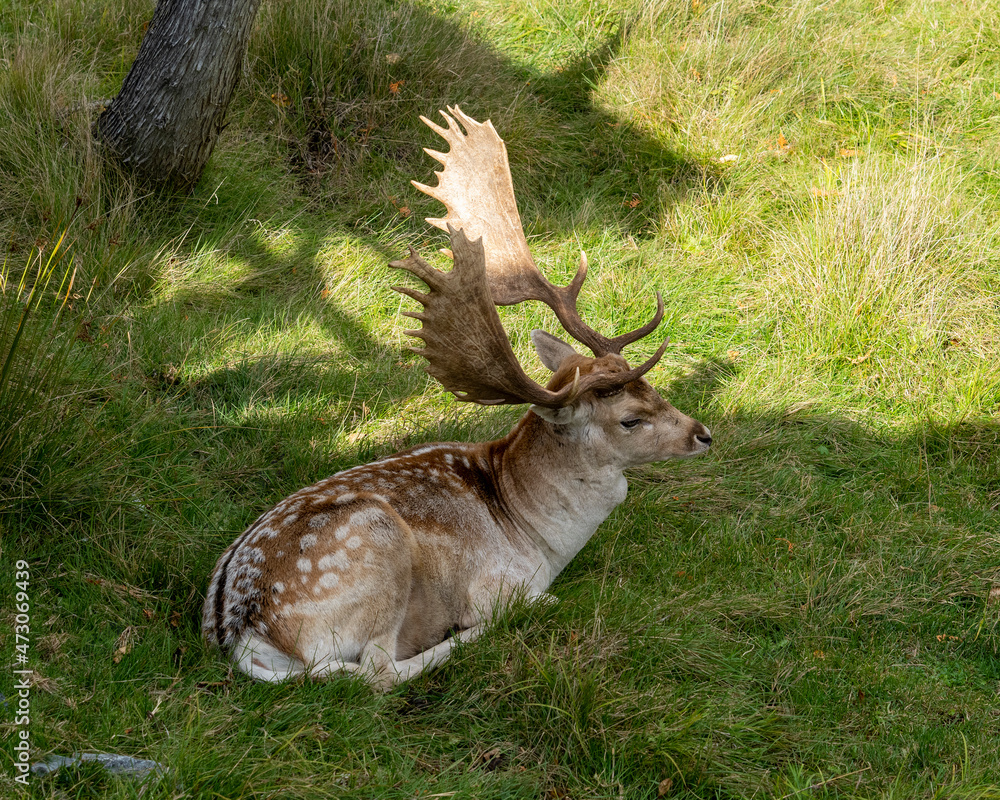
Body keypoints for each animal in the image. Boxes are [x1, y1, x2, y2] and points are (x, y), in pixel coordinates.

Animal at [202, 107, 712, 690]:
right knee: (376, 671)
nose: (703, 434)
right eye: (630, 418)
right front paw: (502, 614)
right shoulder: (494, 580)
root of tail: (243, 637)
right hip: (376, 545)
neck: (535, 533)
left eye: (651, 386)